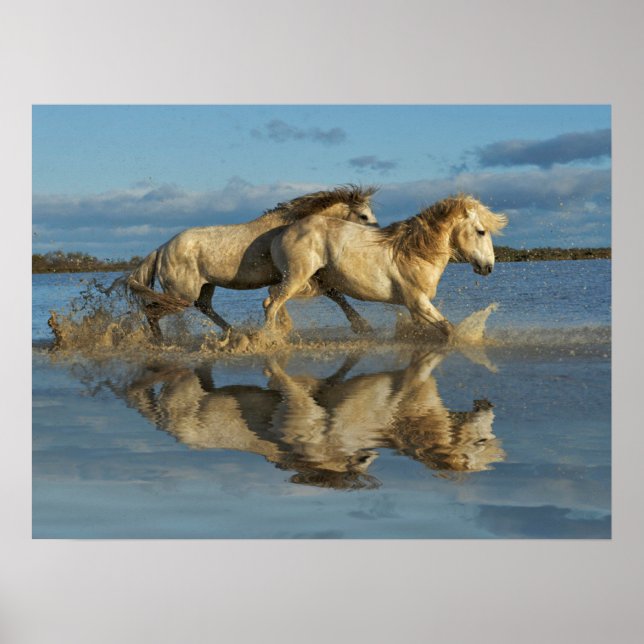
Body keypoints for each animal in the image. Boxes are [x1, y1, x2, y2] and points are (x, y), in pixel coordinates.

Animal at [107, 185, 378, 339]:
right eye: (363, 216)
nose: (377, 237)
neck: (291, 225)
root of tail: (161, 249)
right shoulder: (300, 274)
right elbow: (331, 294)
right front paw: (362, 325)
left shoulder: (299, 276)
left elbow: (332, 295)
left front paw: (362, 326)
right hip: (180, 294)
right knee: (151, 311)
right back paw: (160, 342)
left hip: (204, 287)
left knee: (205, 308)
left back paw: (233, 332)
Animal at [264, 194, 507, 340]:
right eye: (481, 232)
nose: (488, 267)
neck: (414, 253)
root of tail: (281, 234)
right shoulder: (418, 302)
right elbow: (450, 330)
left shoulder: (416, 309)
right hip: (297, 278)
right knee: (272, 304)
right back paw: (269, 339)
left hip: (310, 283)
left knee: (272, 296)